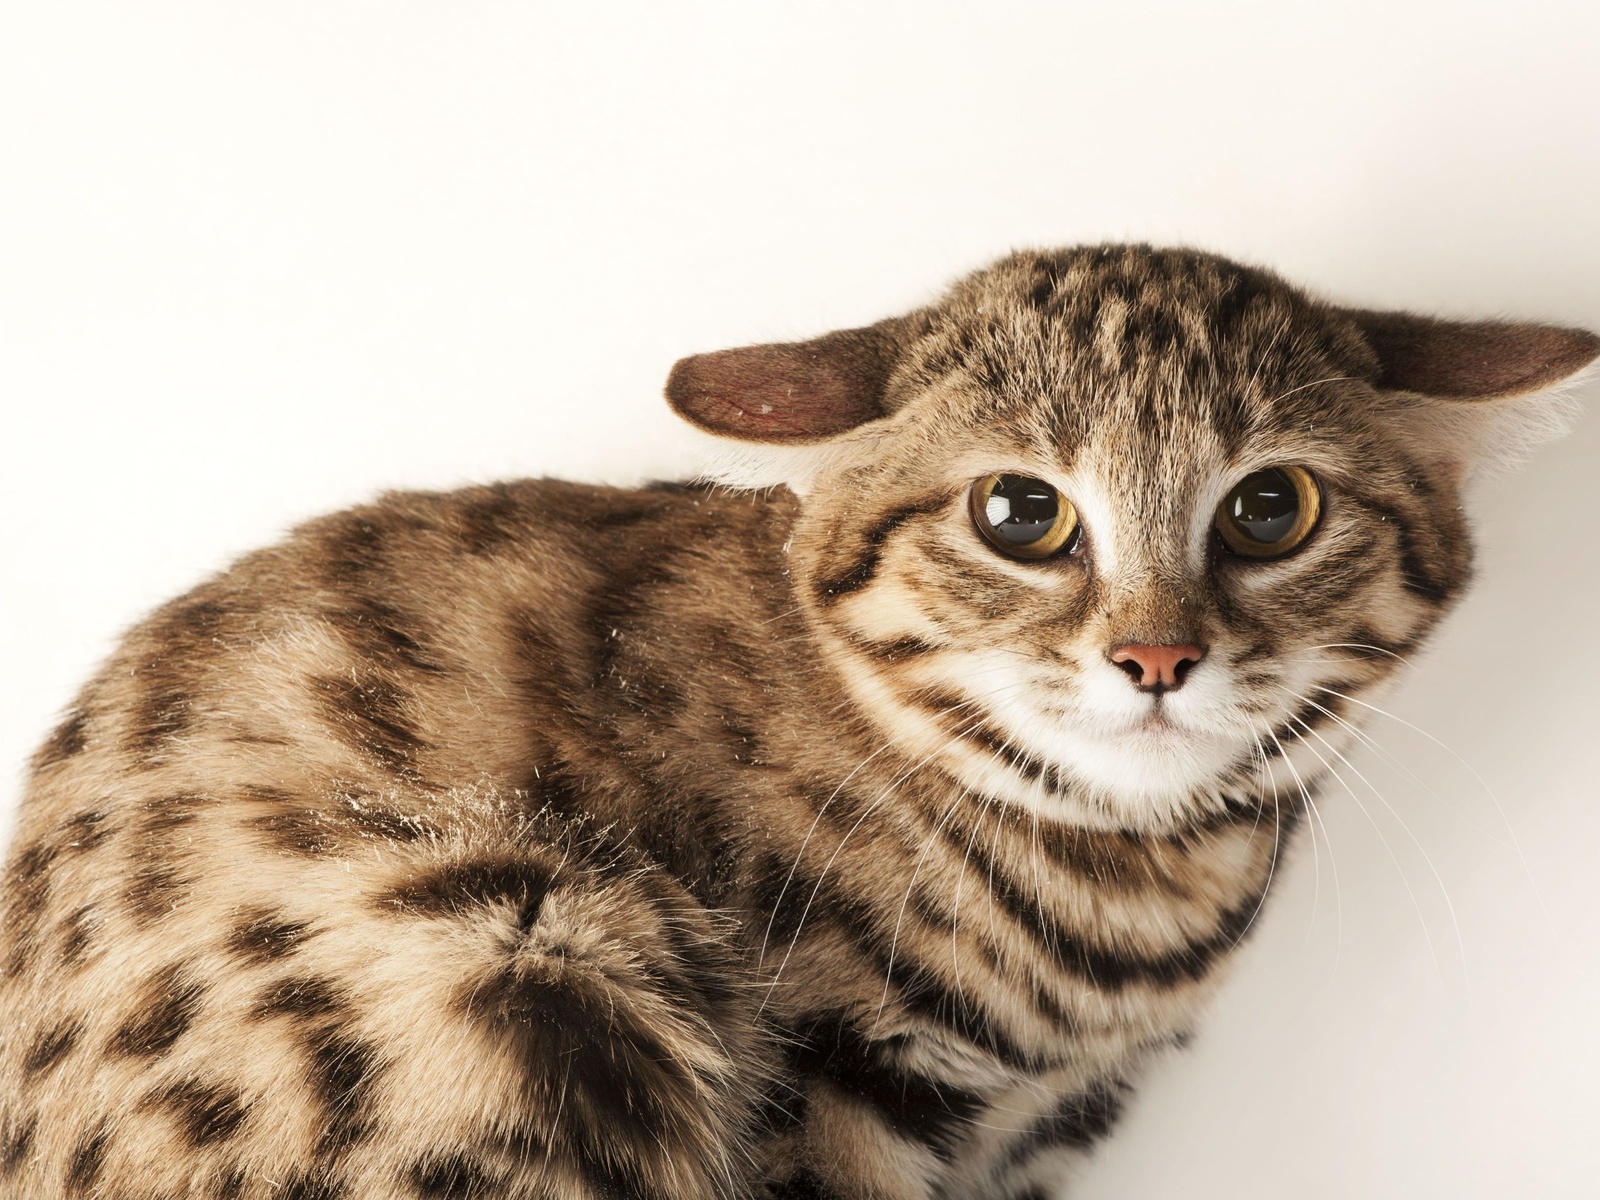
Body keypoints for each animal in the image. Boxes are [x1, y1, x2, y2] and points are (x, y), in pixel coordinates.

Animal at [6, 246, 1593, 1200]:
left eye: (1271, 508)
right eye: (1019, 513)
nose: (1157, 654)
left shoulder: (1032, 1133)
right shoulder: (832, 1082)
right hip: (495, 963)